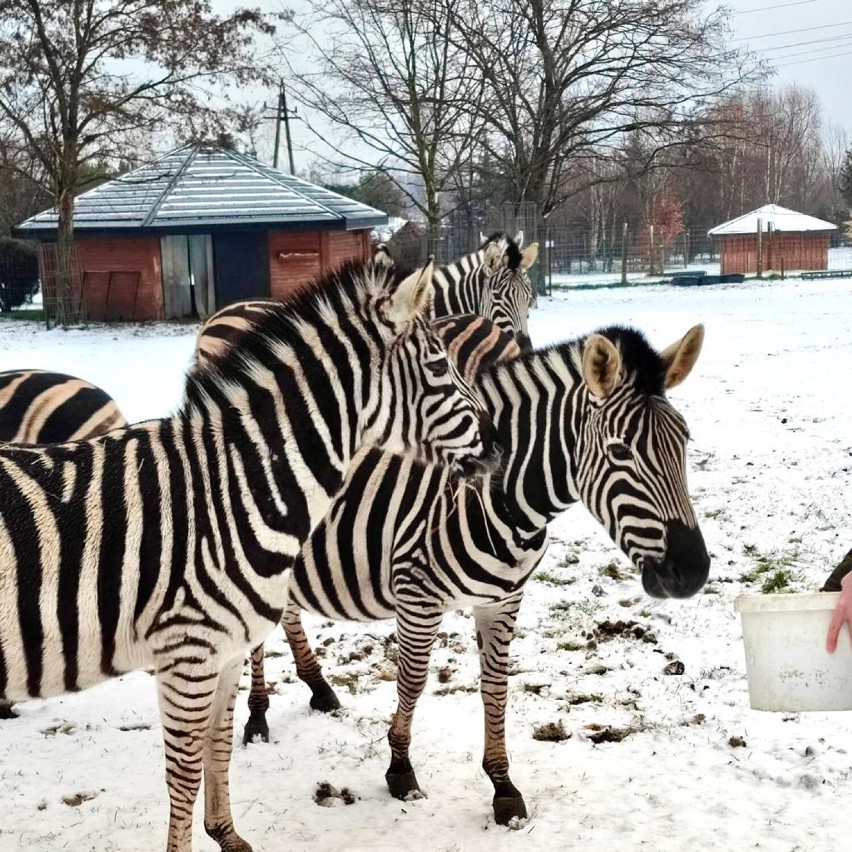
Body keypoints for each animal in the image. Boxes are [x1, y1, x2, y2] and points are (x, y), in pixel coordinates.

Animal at [0, 260, 502, 852]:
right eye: (440, 367)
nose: (498, 447)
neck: (234, 487)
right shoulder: (187, 654)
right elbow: (183, 771)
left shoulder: (227, 652)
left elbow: (217, 747)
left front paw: (228, 836)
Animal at [241, 314, 712, 824]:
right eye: (620, 451)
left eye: (684, 442)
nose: (693, 572)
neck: (499, 500)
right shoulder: (417, 594)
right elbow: (413, 681)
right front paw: (401, 770)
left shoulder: (503, 599)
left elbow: (495, 687)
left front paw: (503, 788)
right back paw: (258, 715)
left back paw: (319, 691)